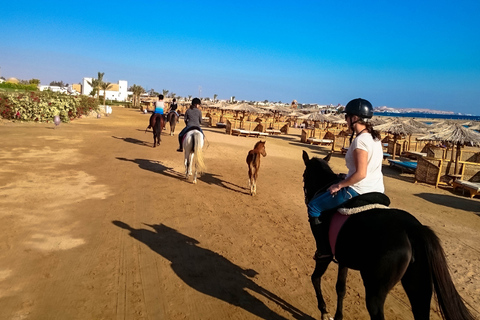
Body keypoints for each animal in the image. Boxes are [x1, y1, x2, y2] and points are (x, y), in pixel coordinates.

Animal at [302, 151, 474, 320]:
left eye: (304, 176)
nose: (308, 198)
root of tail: (413, 228)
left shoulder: (326, 256)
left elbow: (315, 278)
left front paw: (324, 311)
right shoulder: (343, 258)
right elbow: (341, 288)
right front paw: (337, 316)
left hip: (375, 290)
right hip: (419, 286)